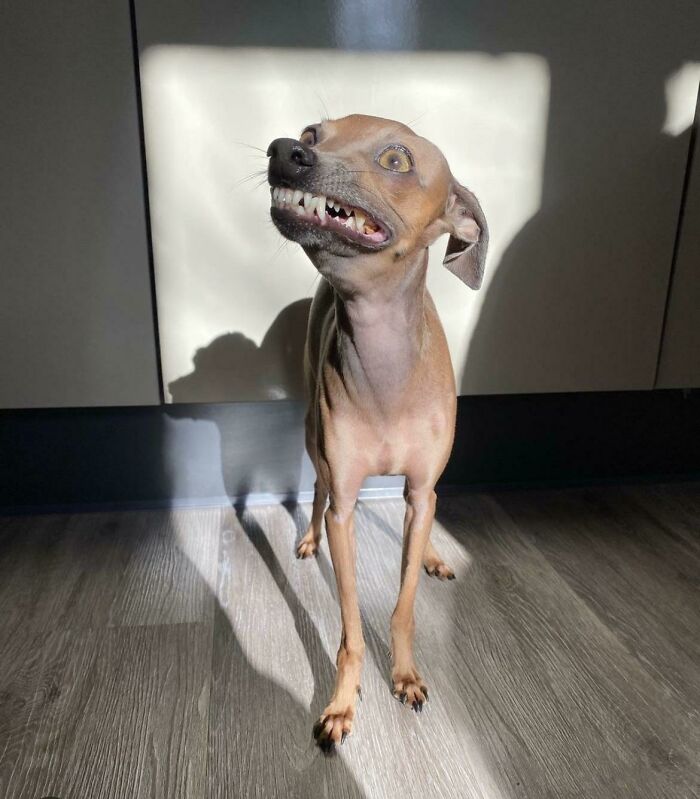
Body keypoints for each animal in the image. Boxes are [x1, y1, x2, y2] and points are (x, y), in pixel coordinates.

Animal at [266, 115, 490, 752]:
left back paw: (434, 552)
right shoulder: (345, 497)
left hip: (424, 487)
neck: (387, 369)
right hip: (313, 437)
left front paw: (406, 674)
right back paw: (308, 537)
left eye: (396, 159)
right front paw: (342, 704)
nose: (285, 153)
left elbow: (405, 601)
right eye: (312, 134)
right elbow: (349, 627)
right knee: (317, 492)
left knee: (429, 511)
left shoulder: (419, 487)